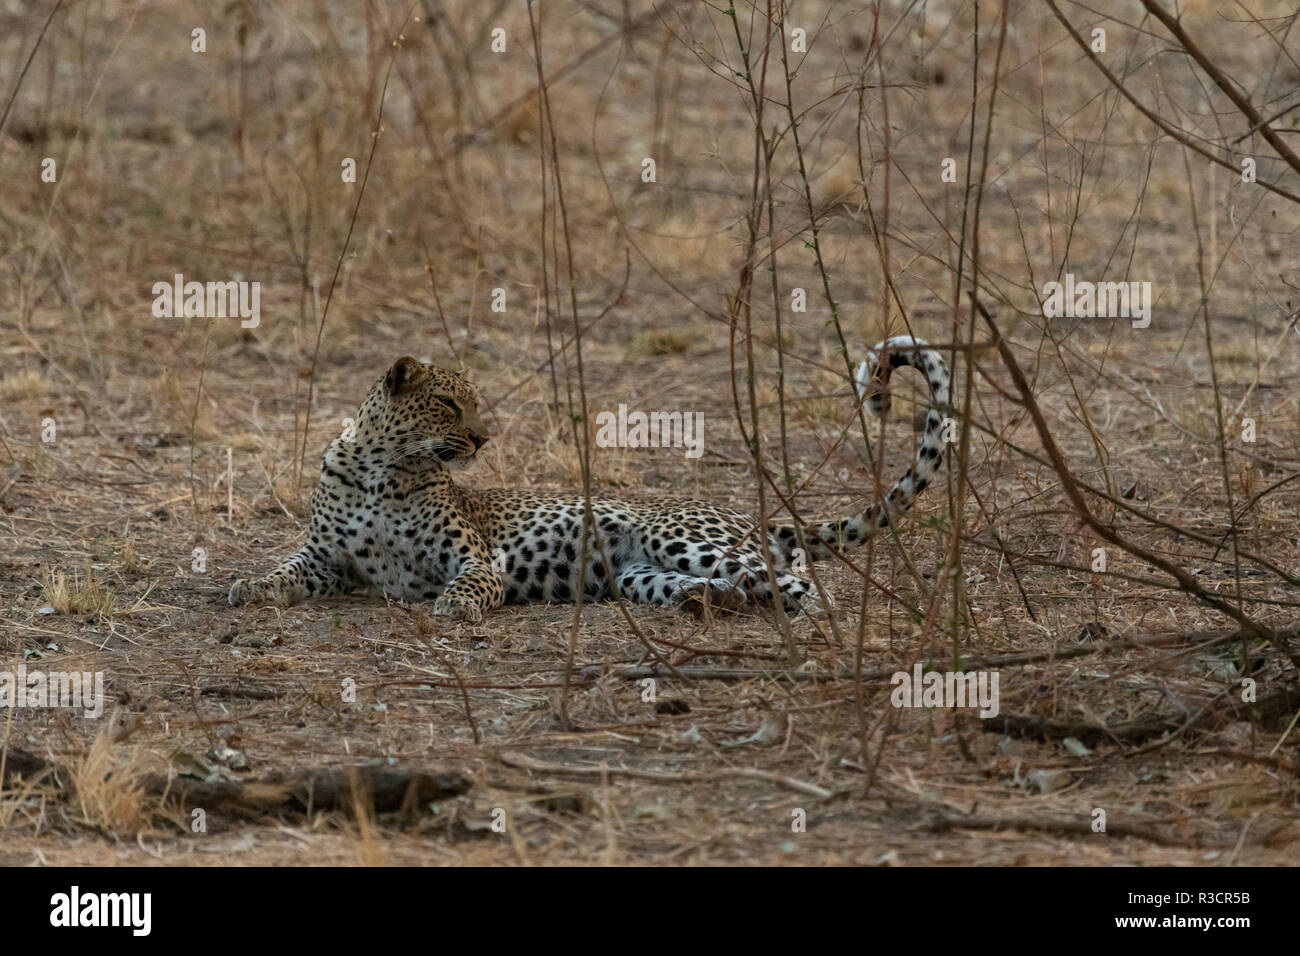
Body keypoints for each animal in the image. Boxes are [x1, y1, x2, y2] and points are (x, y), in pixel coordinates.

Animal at [227, 336, 950, 622]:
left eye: (473, 404)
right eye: (449, 405)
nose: (483, 438)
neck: (382, 468)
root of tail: (753, 517)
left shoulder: (474, 557)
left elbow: (470, 584)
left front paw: (454, 608)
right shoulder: (327, 560)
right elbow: (285, 569)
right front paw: (248, 587)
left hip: (685, 540)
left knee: (807, 586)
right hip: (640, 575)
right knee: (734, 586)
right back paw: (712, 604)